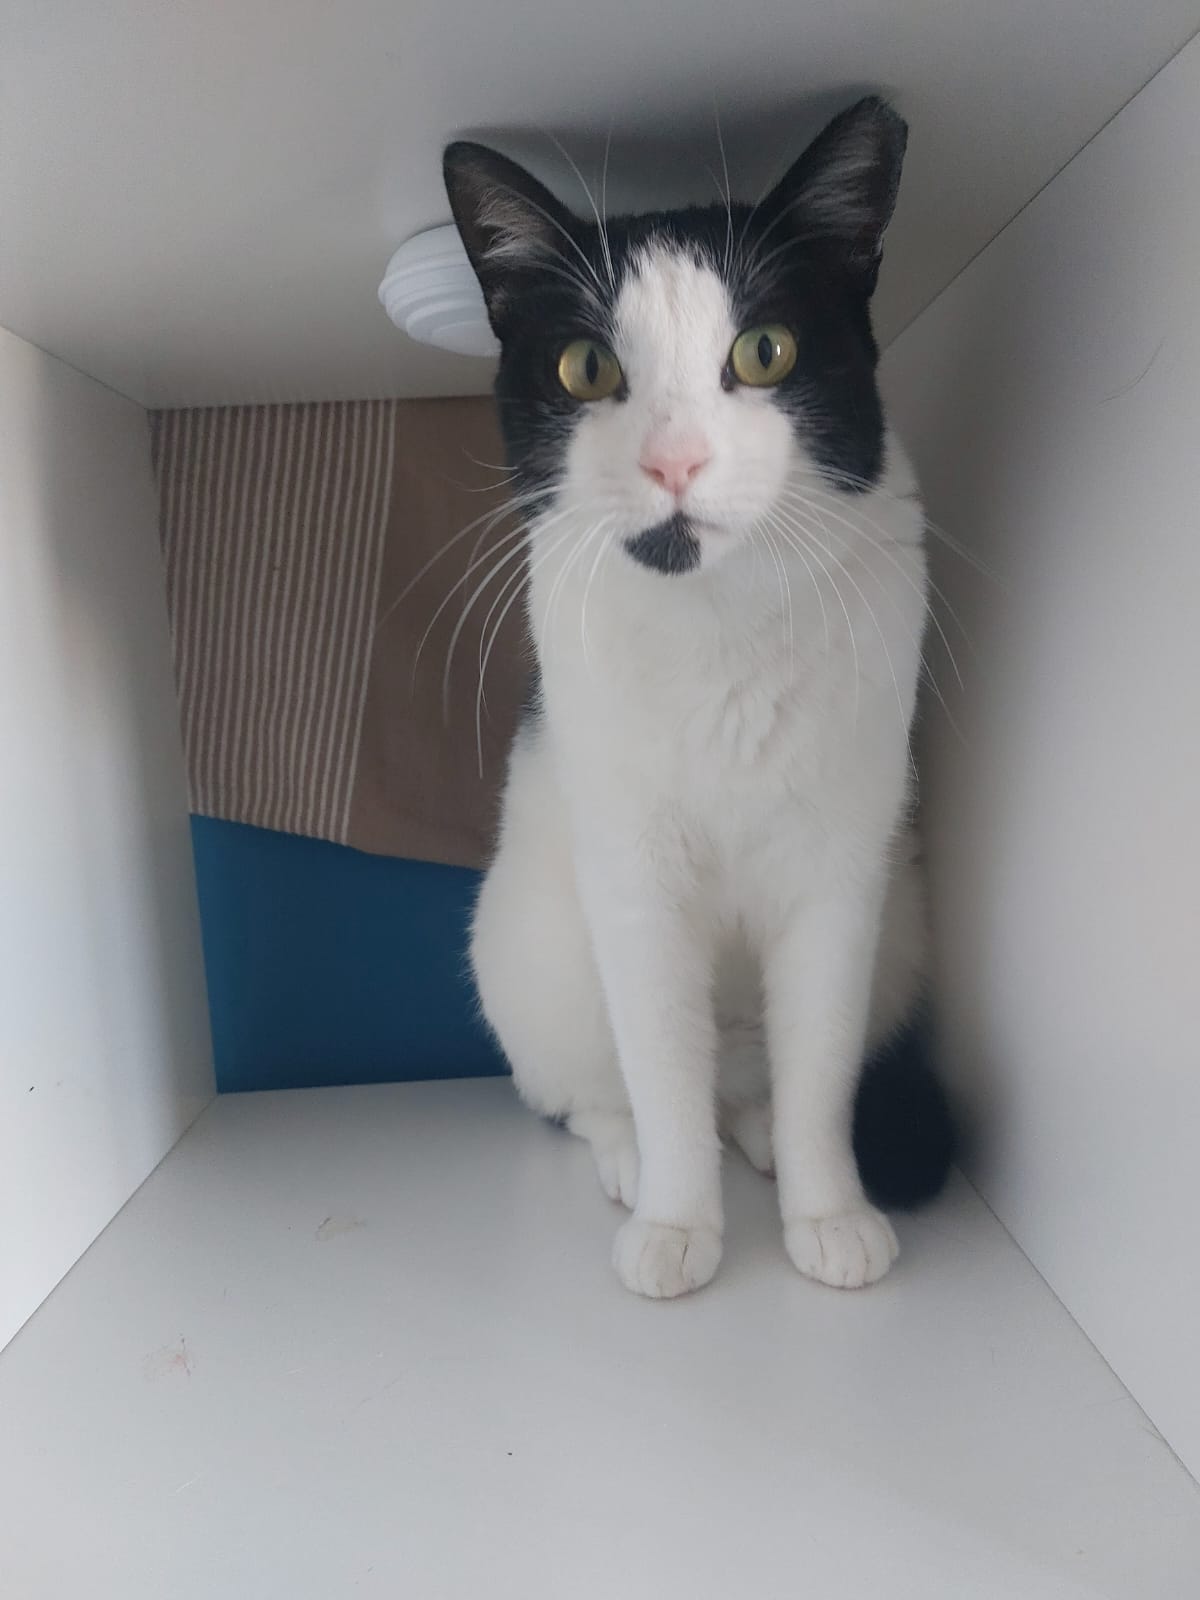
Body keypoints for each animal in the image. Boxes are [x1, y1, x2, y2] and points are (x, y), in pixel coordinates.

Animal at [444, 96, 953, 1299]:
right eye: (586, 367)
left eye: (765, 350)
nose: (674, 461)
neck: (719, 619)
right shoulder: (635, 882)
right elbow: (661, 1068)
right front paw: (678, 1223)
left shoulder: (838, 880)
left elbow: (819, 1066)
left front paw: (829, 1210)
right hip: (525, 949)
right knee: (603, 1091)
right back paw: (633, 1155)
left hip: (899, 930)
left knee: (762, 1080)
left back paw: (759, 1134)